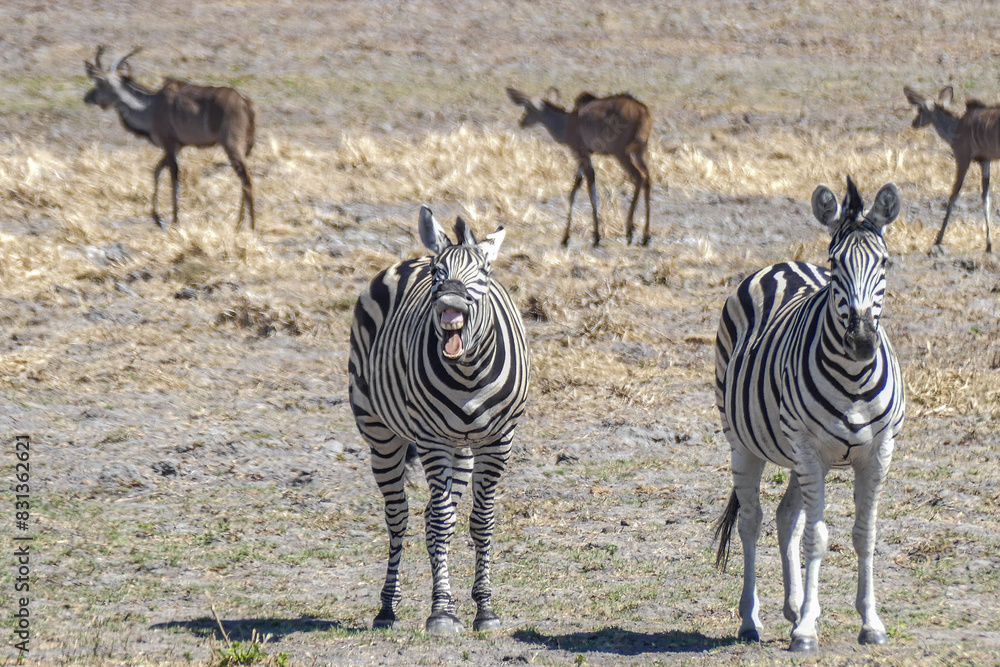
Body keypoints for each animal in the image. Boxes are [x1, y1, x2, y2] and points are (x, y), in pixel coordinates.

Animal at [84, 46, 256, 230]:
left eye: (99, 83)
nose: (87, 98)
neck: (149, 107)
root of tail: (245, 102)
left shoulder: (169, 143)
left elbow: (173, 177)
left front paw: (174, 219)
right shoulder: (176, 146)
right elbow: (157, 170)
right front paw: (157, 218)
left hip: (231, 145)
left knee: (246, 178)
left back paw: (250, 226)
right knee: (243, 177)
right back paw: (239, 225)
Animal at [348, 206, 532, 636]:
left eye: (483, 272)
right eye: (438, 272)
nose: (450, 300)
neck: (467, 372)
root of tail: (410, 257)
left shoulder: (498, 441)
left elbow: (481, 521)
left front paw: (484, 608)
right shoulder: (432, 441)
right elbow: (444, 522)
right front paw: (442, 613)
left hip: (461, 448)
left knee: (431, 515)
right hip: (381, 433)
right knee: (399, 516)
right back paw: (387, 609)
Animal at [504, 87, 652, 247]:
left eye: (528, 108)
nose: (521, 122)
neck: (567, 122)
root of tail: (642, 110)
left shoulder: (581, 154)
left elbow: (590, 189)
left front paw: (596, 237)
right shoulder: (583, 159)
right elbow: (575, 190)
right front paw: (566, 237)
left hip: (621, 153)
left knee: (639, 176)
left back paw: (630, 231)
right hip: (640, 151)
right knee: (648, 178)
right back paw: (645, 236)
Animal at [716, 176, 904, 652]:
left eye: (885, 262)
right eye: (835, 265)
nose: (862, 341)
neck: (854, 378)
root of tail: (785, 264)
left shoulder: (879, 452)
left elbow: (865, 533)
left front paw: (869, 622)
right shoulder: (808, 448)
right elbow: (817, 537)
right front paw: (805, 631)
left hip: (798, 455)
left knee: (786, 519)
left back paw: (794, 606)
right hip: (748, 444)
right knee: (752, 521)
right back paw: (752, 620)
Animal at [904, 85, 996, 253]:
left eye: (920, 109)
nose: (914, 123)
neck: (957, 127)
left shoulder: (963, 158)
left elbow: (954, 195)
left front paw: (938, 238)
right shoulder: (985, 161)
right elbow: (986, 197)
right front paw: (988, 244)